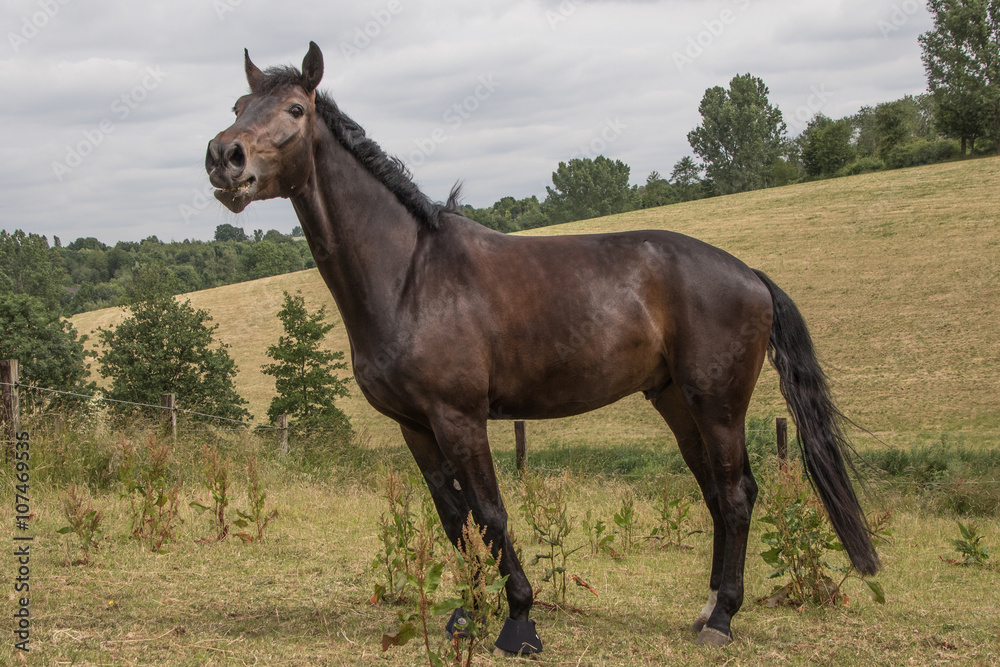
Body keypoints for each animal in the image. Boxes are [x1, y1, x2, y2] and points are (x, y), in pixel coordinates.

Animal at [207, 43, 880, 656]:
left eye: (295, 109)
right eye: (239, 105)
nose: (223, 157)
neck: (408, 275)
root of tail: (749, 275)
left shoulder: (460, 418)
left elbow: (491, 513)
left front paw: (518, 620)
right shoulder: (415, 427)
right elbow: (455, 519)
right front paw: (468, 613)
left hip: (717, 405)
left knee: (737, 496)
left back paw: (721, 621)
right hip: (676, 402)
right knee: (716, 493)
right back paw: (707, 607)